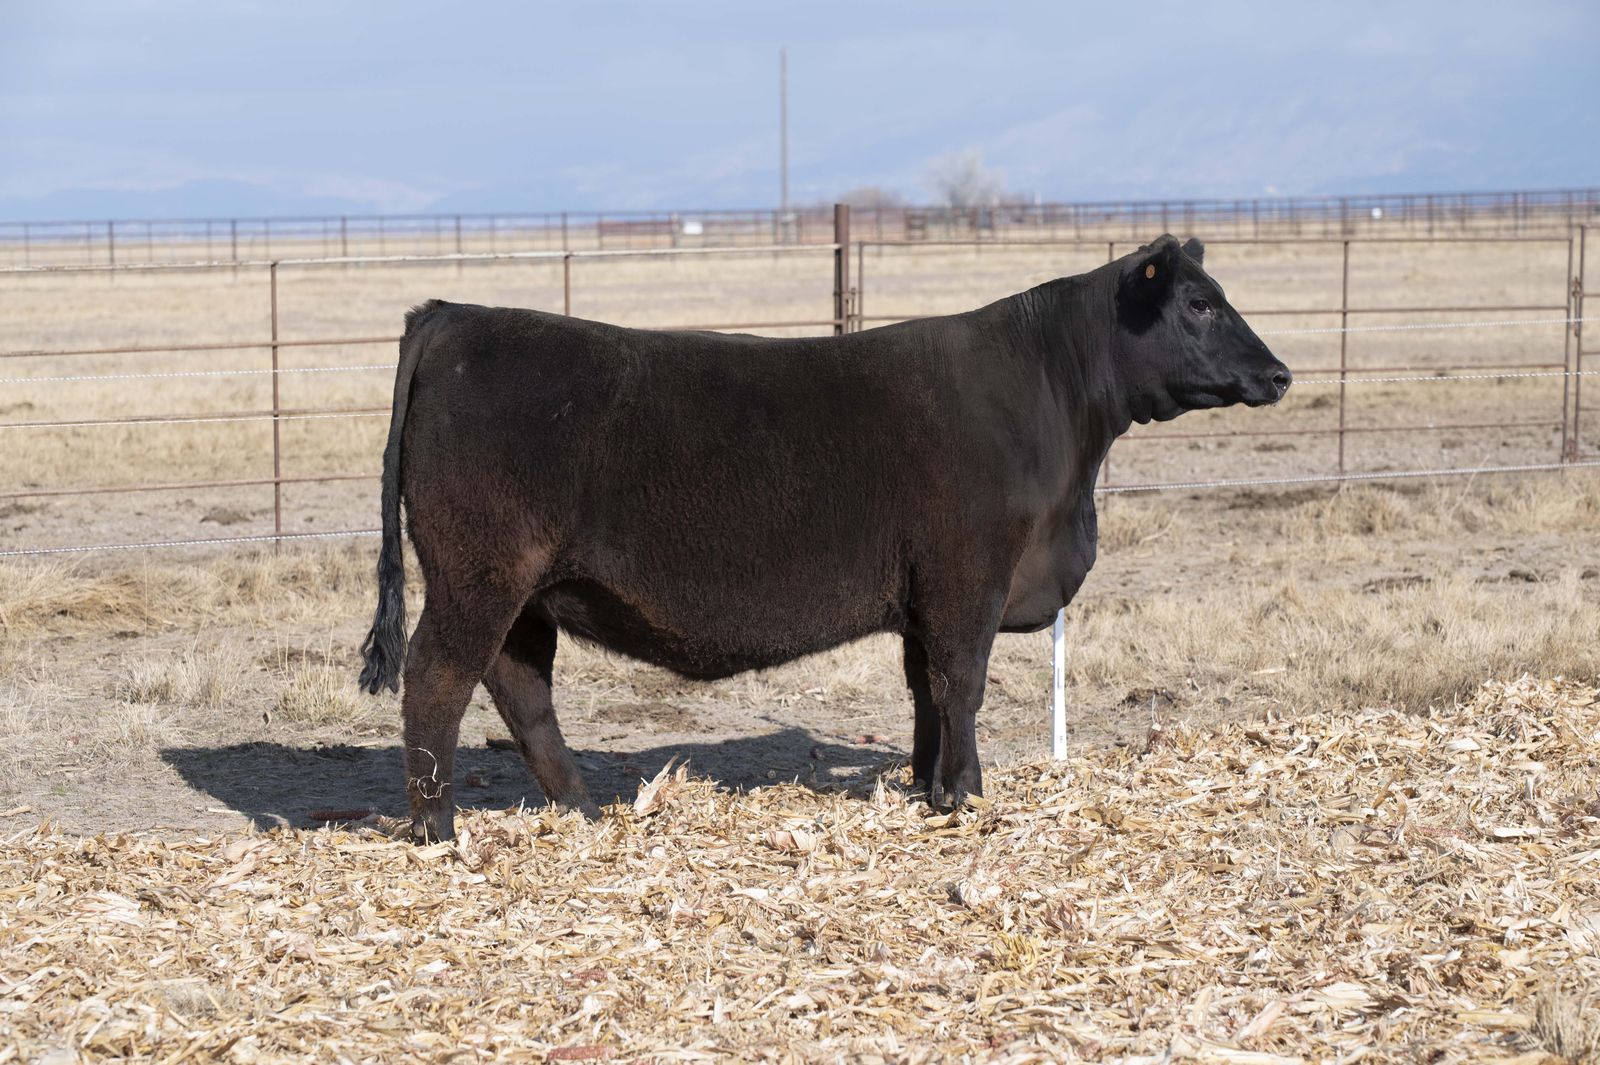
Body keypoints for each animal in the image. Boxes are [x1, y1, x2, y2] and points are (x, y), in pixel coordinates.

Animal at [358, 234, 1290, 842]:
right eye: (1200, 303)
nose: (1279, 372)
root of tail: (451, 315)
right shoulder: (968, 574)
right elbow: (963, 682)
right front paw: (968, 793)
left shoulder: (924, 591)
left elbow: (925, 691)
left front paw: (926, 783)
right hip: (478, 573)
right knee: (437, 678)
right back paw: (439, 826)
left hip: (528, 590)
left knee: (521, 689)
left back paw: (582, 806)